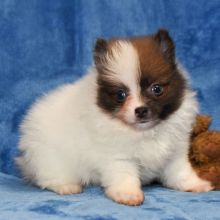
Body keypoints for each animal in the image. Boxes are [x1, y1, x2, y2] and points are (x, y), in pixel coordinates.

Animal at [15, 29, 213, 206]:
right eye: (120, 95)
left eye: (156, 89)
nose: (140, 110)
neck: (145, 132)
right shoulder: (117, 157)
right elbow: (125, 176)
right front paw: (128, 194)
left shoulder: (174, 153)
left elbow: (180, 172)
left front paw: (196, 184)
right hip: (50, 158)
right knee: (49, 177)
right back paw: (67, 186)